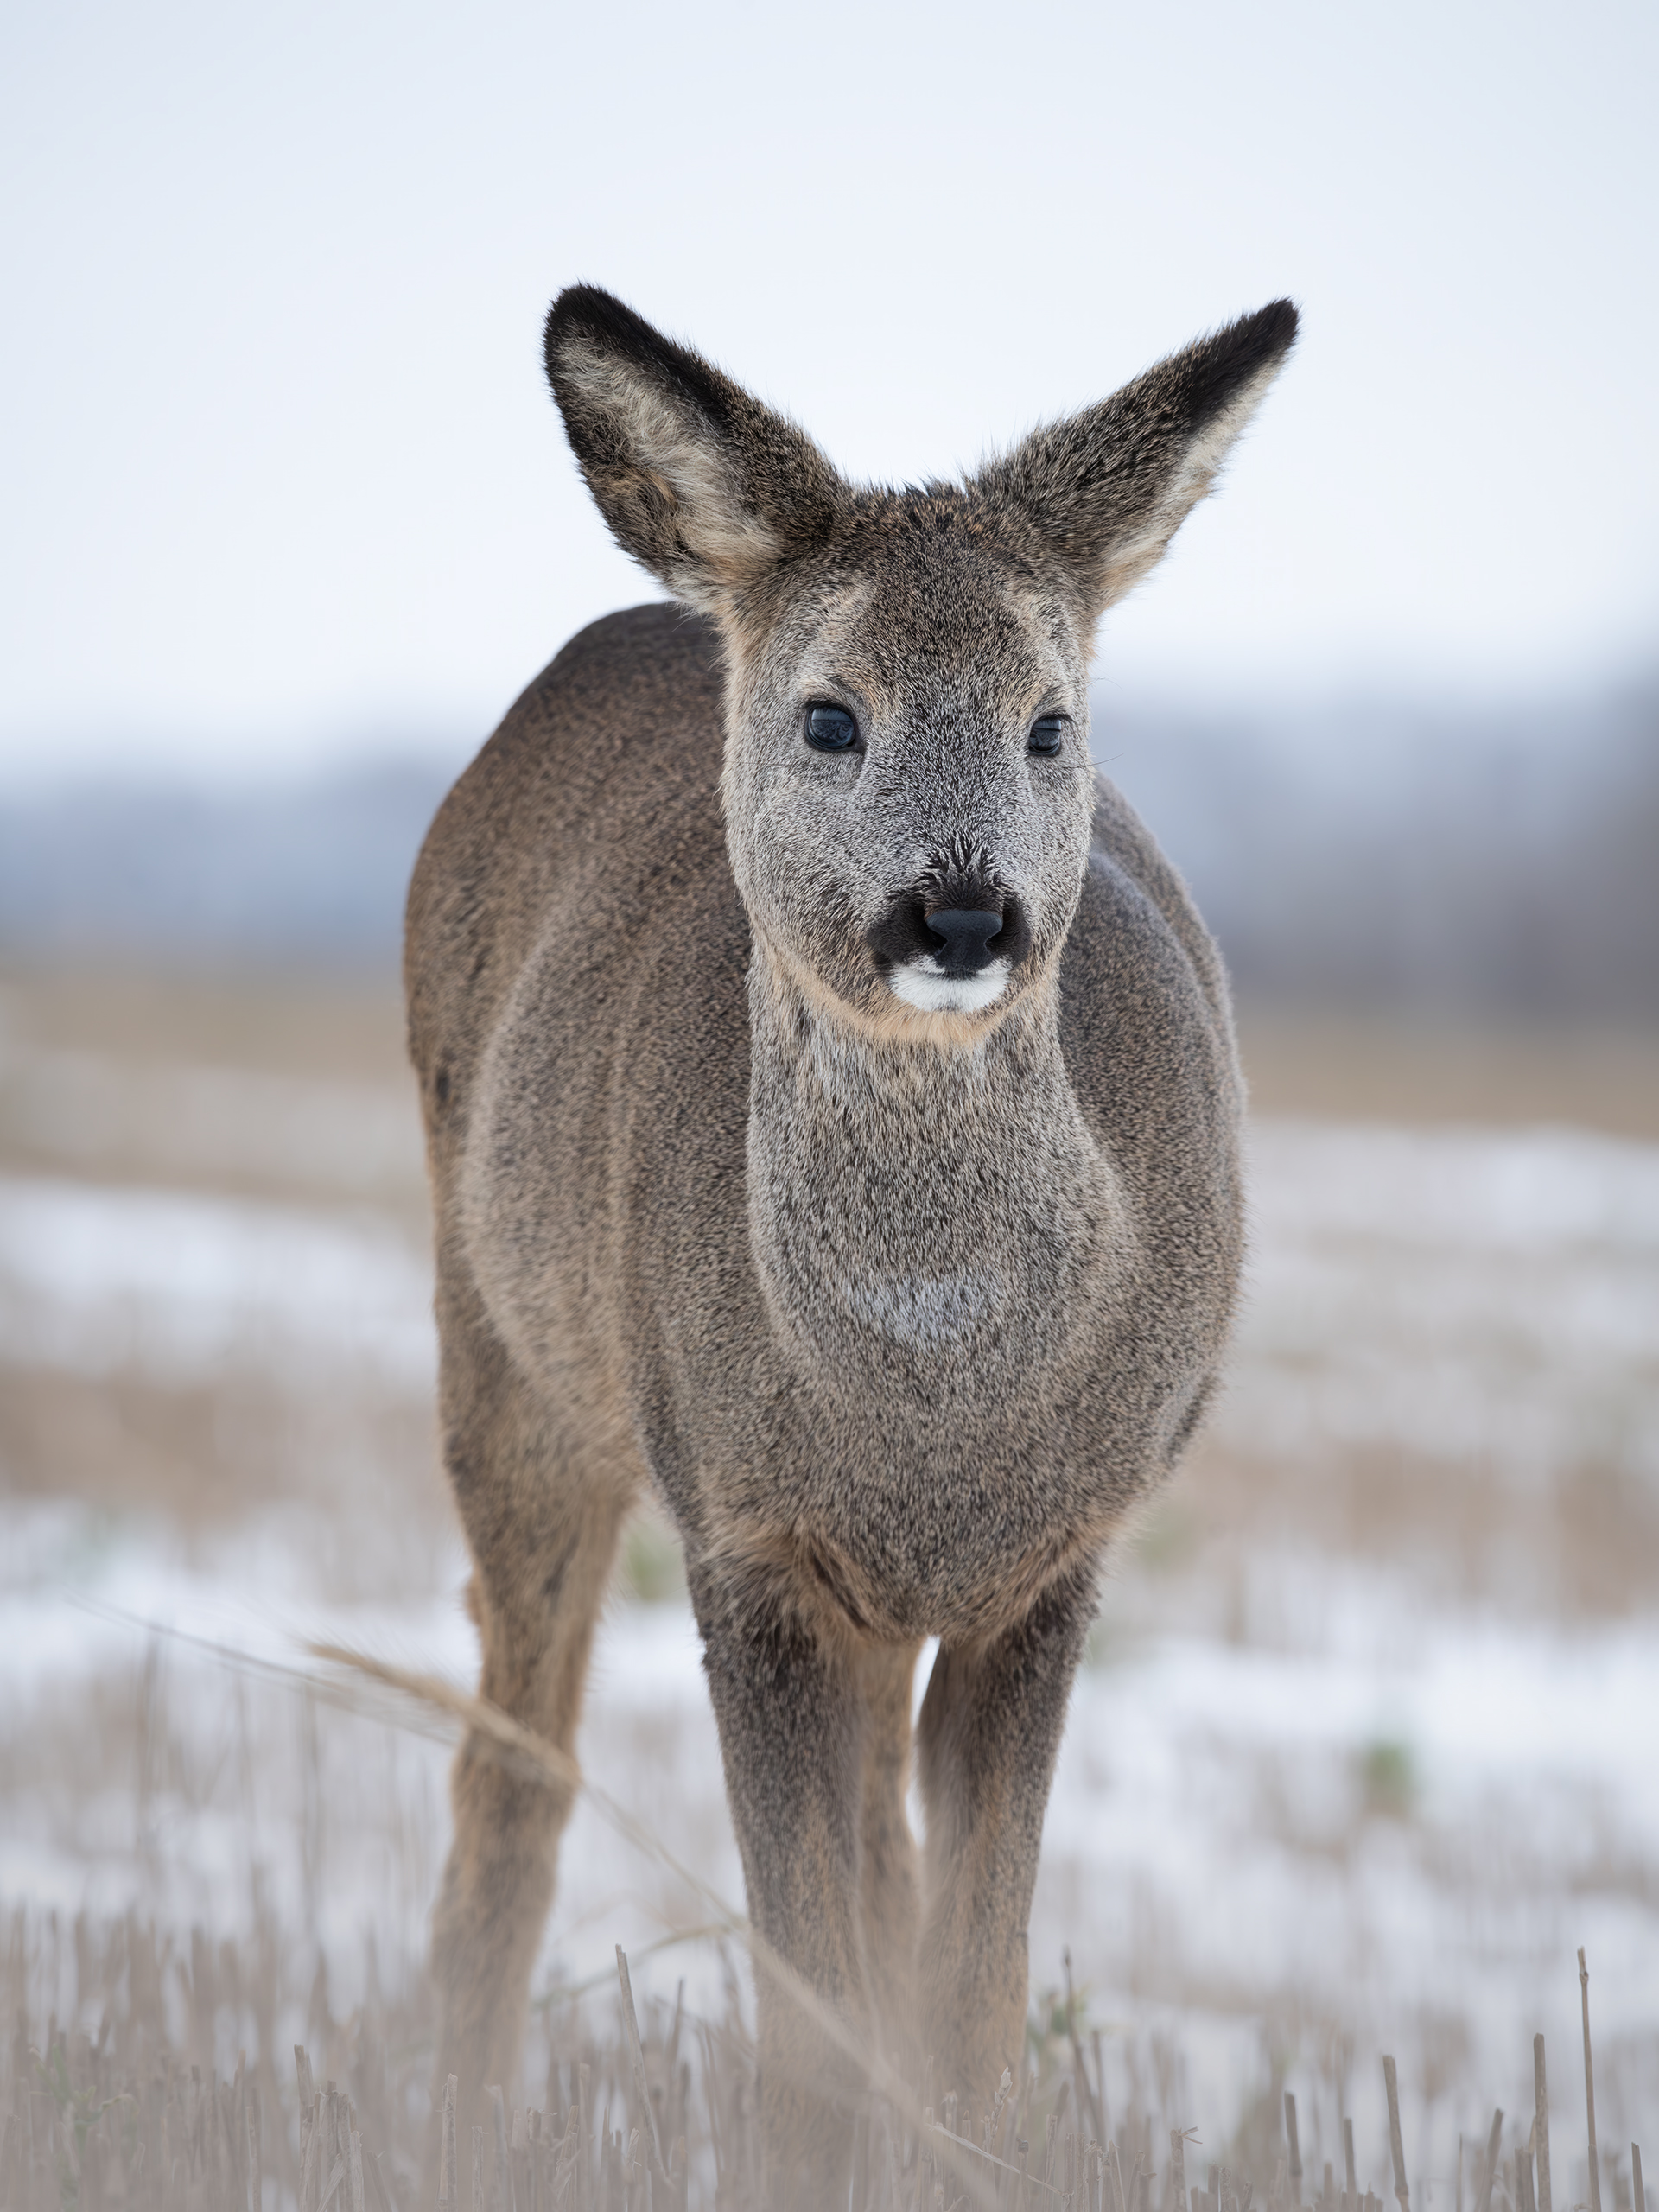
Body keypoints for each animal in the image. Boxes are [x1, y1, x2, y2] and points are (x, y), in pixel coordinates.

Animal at [402, 285, 1300, 2202]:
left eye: (1050, 723)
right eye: (830, 718)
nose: (961, 912)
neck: (928, 1409)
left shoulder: (1052, 1561)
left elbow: (967, 2007)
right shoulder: (745, 1536)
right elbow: (803, 2023)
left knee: (871, 1867)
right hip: (511, 1354)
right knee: (515, 1763)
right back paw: (444, 2120)